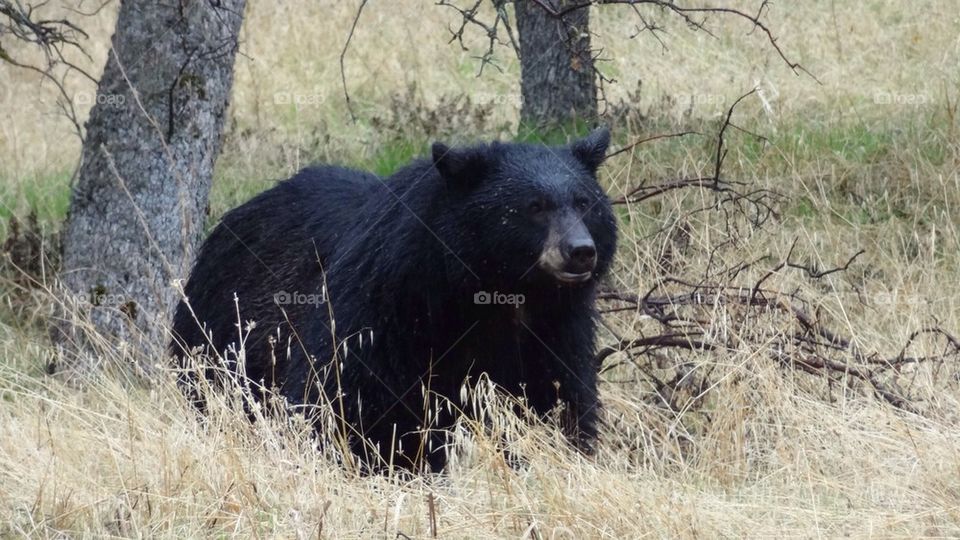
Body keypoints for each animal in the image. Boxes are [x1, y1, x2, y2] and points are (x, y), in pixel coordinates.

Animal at [170, 127, 618, 472]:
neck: (493, 291)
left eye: (584, 202)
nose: (581, 251)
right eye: (534, 207)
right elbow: (346, 396)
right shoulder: (385, 307)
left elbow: (556, 399)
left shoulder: (554, 328)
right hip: (217, 338)